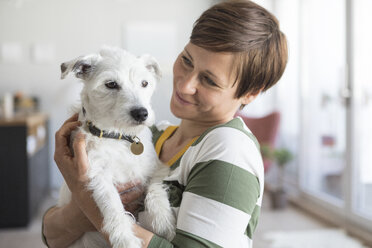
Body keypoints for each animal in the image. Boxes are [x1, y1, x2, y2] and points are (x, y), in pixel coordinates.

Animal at [57, 46, 176, 248]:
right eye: (111, 84)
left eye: (144, 83)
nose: (141, 113)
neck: (119, 137)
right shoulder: (97, 176)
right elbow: (112, 206)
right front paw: (124, 239)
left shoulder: (156, 167)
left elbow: (155, 188)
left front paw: (163, 220)